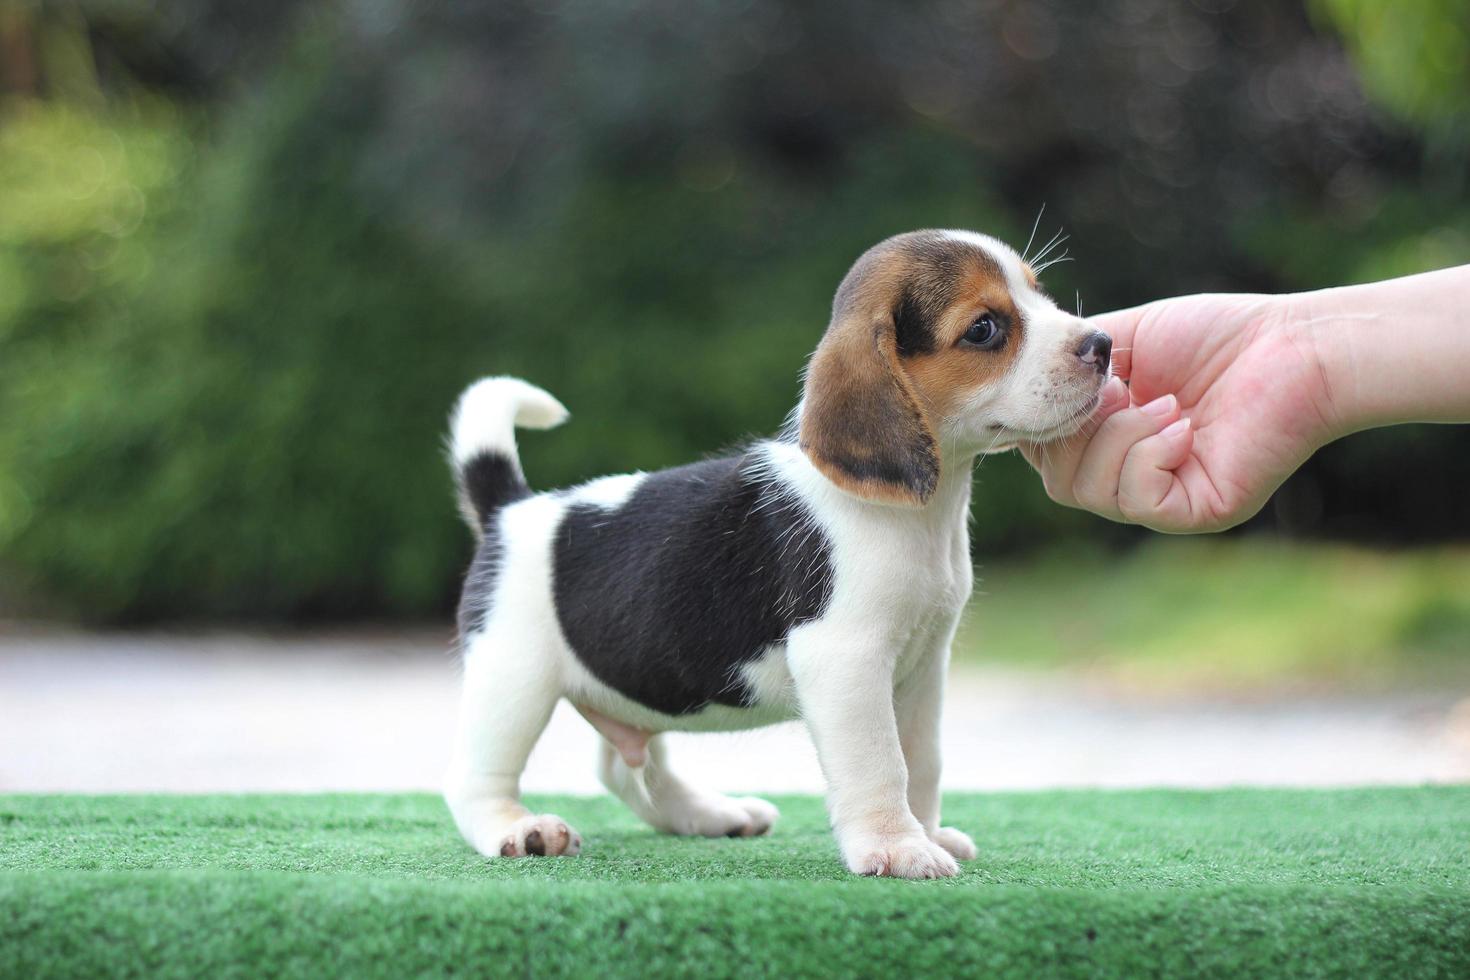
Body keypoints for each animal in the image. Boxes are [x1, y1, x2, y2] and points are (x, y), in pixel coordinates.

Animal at [446, 230, 1111, 881]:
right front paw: (897, 847)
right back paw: (517, 829)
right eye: (984, 329)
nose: (1103, 343)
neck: (921, 511)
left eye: (1039, 293)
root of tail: (508, 508)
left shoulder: (924, 665)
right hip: (513, 678)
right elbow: (882, 762)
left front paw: (926, 831)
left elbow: (922, 760)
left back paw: (709, 814)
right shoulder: (845, 660)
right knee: (475, 780)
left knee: (623, 768)